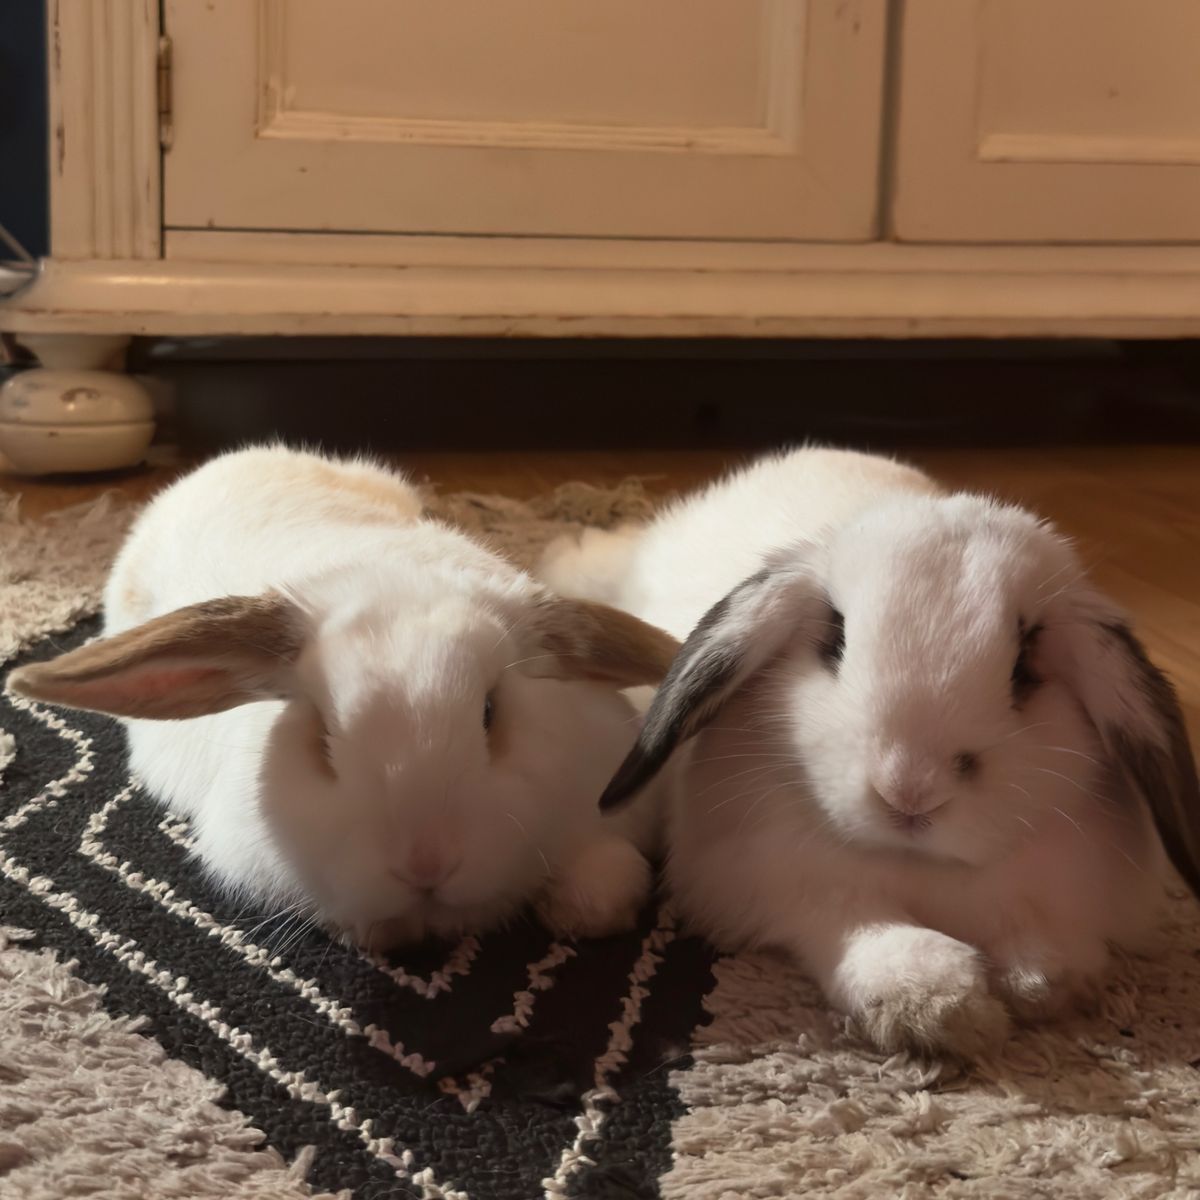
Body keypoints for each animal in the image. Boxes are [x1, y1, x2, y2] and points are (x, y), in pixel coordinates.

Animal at [543, 447, 1200, 1058]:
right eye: (834, 640)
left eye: (1025, 667)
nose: (909, 791)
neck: (919, 865)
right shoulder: (782, 885)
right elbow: (863, 929)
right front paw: (943, 1008)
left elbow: (1047, 946)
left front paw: (1038, 982)